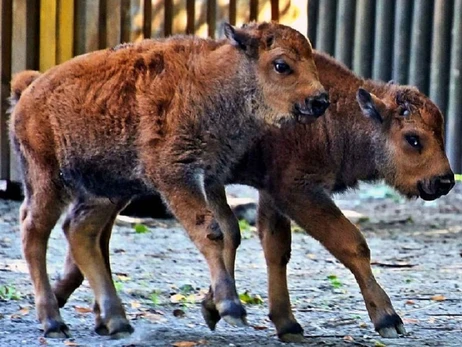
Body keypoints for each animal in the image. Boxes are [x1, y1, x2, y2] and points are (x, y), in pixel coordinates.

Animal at [9, 22, 328, 340]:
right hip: (48, 181)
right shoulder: (177, 177)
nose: (320, 100)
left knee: (79, 231)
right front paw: (231, 308)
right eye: (281, 64)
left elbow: (230, 230)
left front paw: (216, 307)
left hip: (107, 190)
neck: (212, 80)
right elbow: (210, 232)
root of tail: (28, 91)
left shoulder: (210, 177)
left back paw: (116, 321)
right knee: (33, 232)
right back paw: (53, 322)